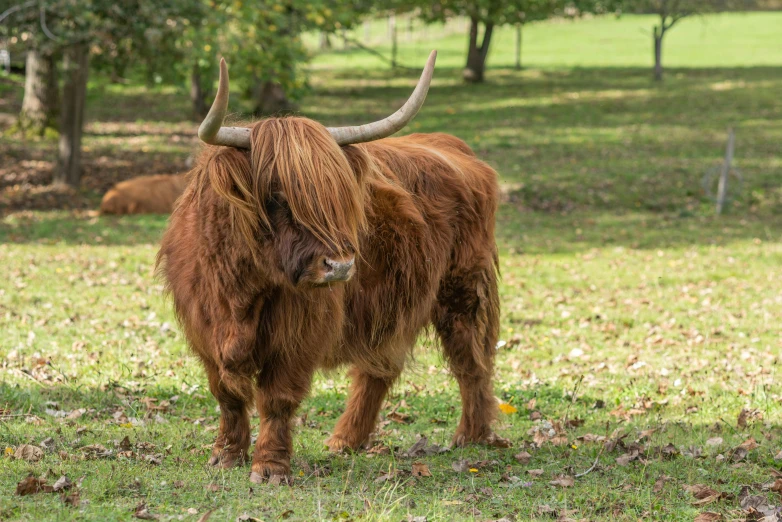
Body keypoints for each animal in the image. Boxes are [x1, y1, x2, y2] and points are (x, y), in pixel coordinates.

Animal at [160, 50, 516, 482]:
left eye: (339, 198)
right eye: (276, 196)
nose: (341, 266)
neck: (240, 291)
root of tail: (453, 146)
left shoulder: (299, 332)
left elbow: (277, 398)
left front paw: (270, 467)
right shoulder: (203, 328)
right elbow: (226, 393)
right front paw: (226, 454)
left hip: (462, 289)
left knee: (471, 360)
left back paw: (471, 434)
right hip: (392, 304)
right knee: (379, 368)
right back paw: (346, 439)